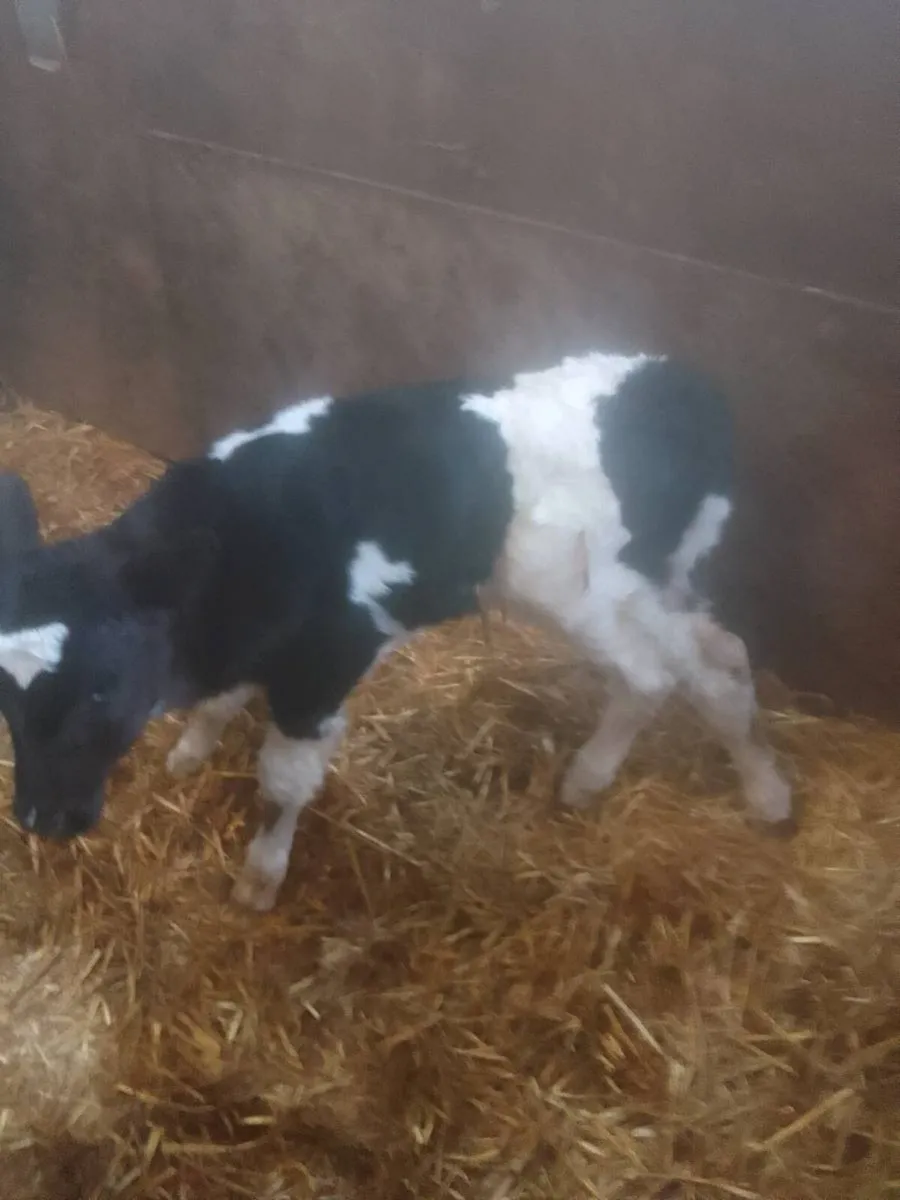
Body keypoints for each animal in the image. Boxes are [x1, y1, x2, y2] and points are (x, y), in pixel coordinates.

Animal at [0, 353, 793, 910]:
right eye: (5, 700)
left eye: (101, 692)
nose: (43, 817)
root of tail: (682, 389)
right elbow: (222, 702)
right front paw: (192, 750)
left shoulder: (323, 669)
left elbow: (283, 784)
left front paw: (261, 878)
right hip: (656, 580)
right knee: (719, 658)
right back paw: (765, 791)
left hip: (580, 592)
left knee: (654, 675)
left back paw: (592, 778)